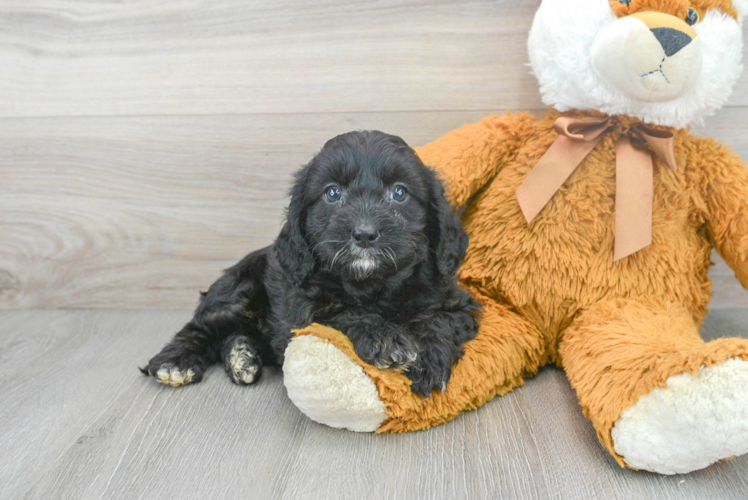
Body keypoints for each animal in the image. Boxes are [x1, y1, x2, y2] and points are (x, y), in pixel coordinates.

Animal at [140, 131, 480, 396]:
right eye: (332, 193)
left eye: (399, 192)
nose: (365, 234)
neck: (373, 286)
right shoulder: (305, 310)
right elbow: (344, 313)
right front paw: (384, 338)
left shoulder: (459, 305)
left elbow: (437, 320)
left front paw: (429, 359)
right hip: (241, 289)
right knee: (201, 327)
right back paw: (176, 361)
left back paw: (242, 356)